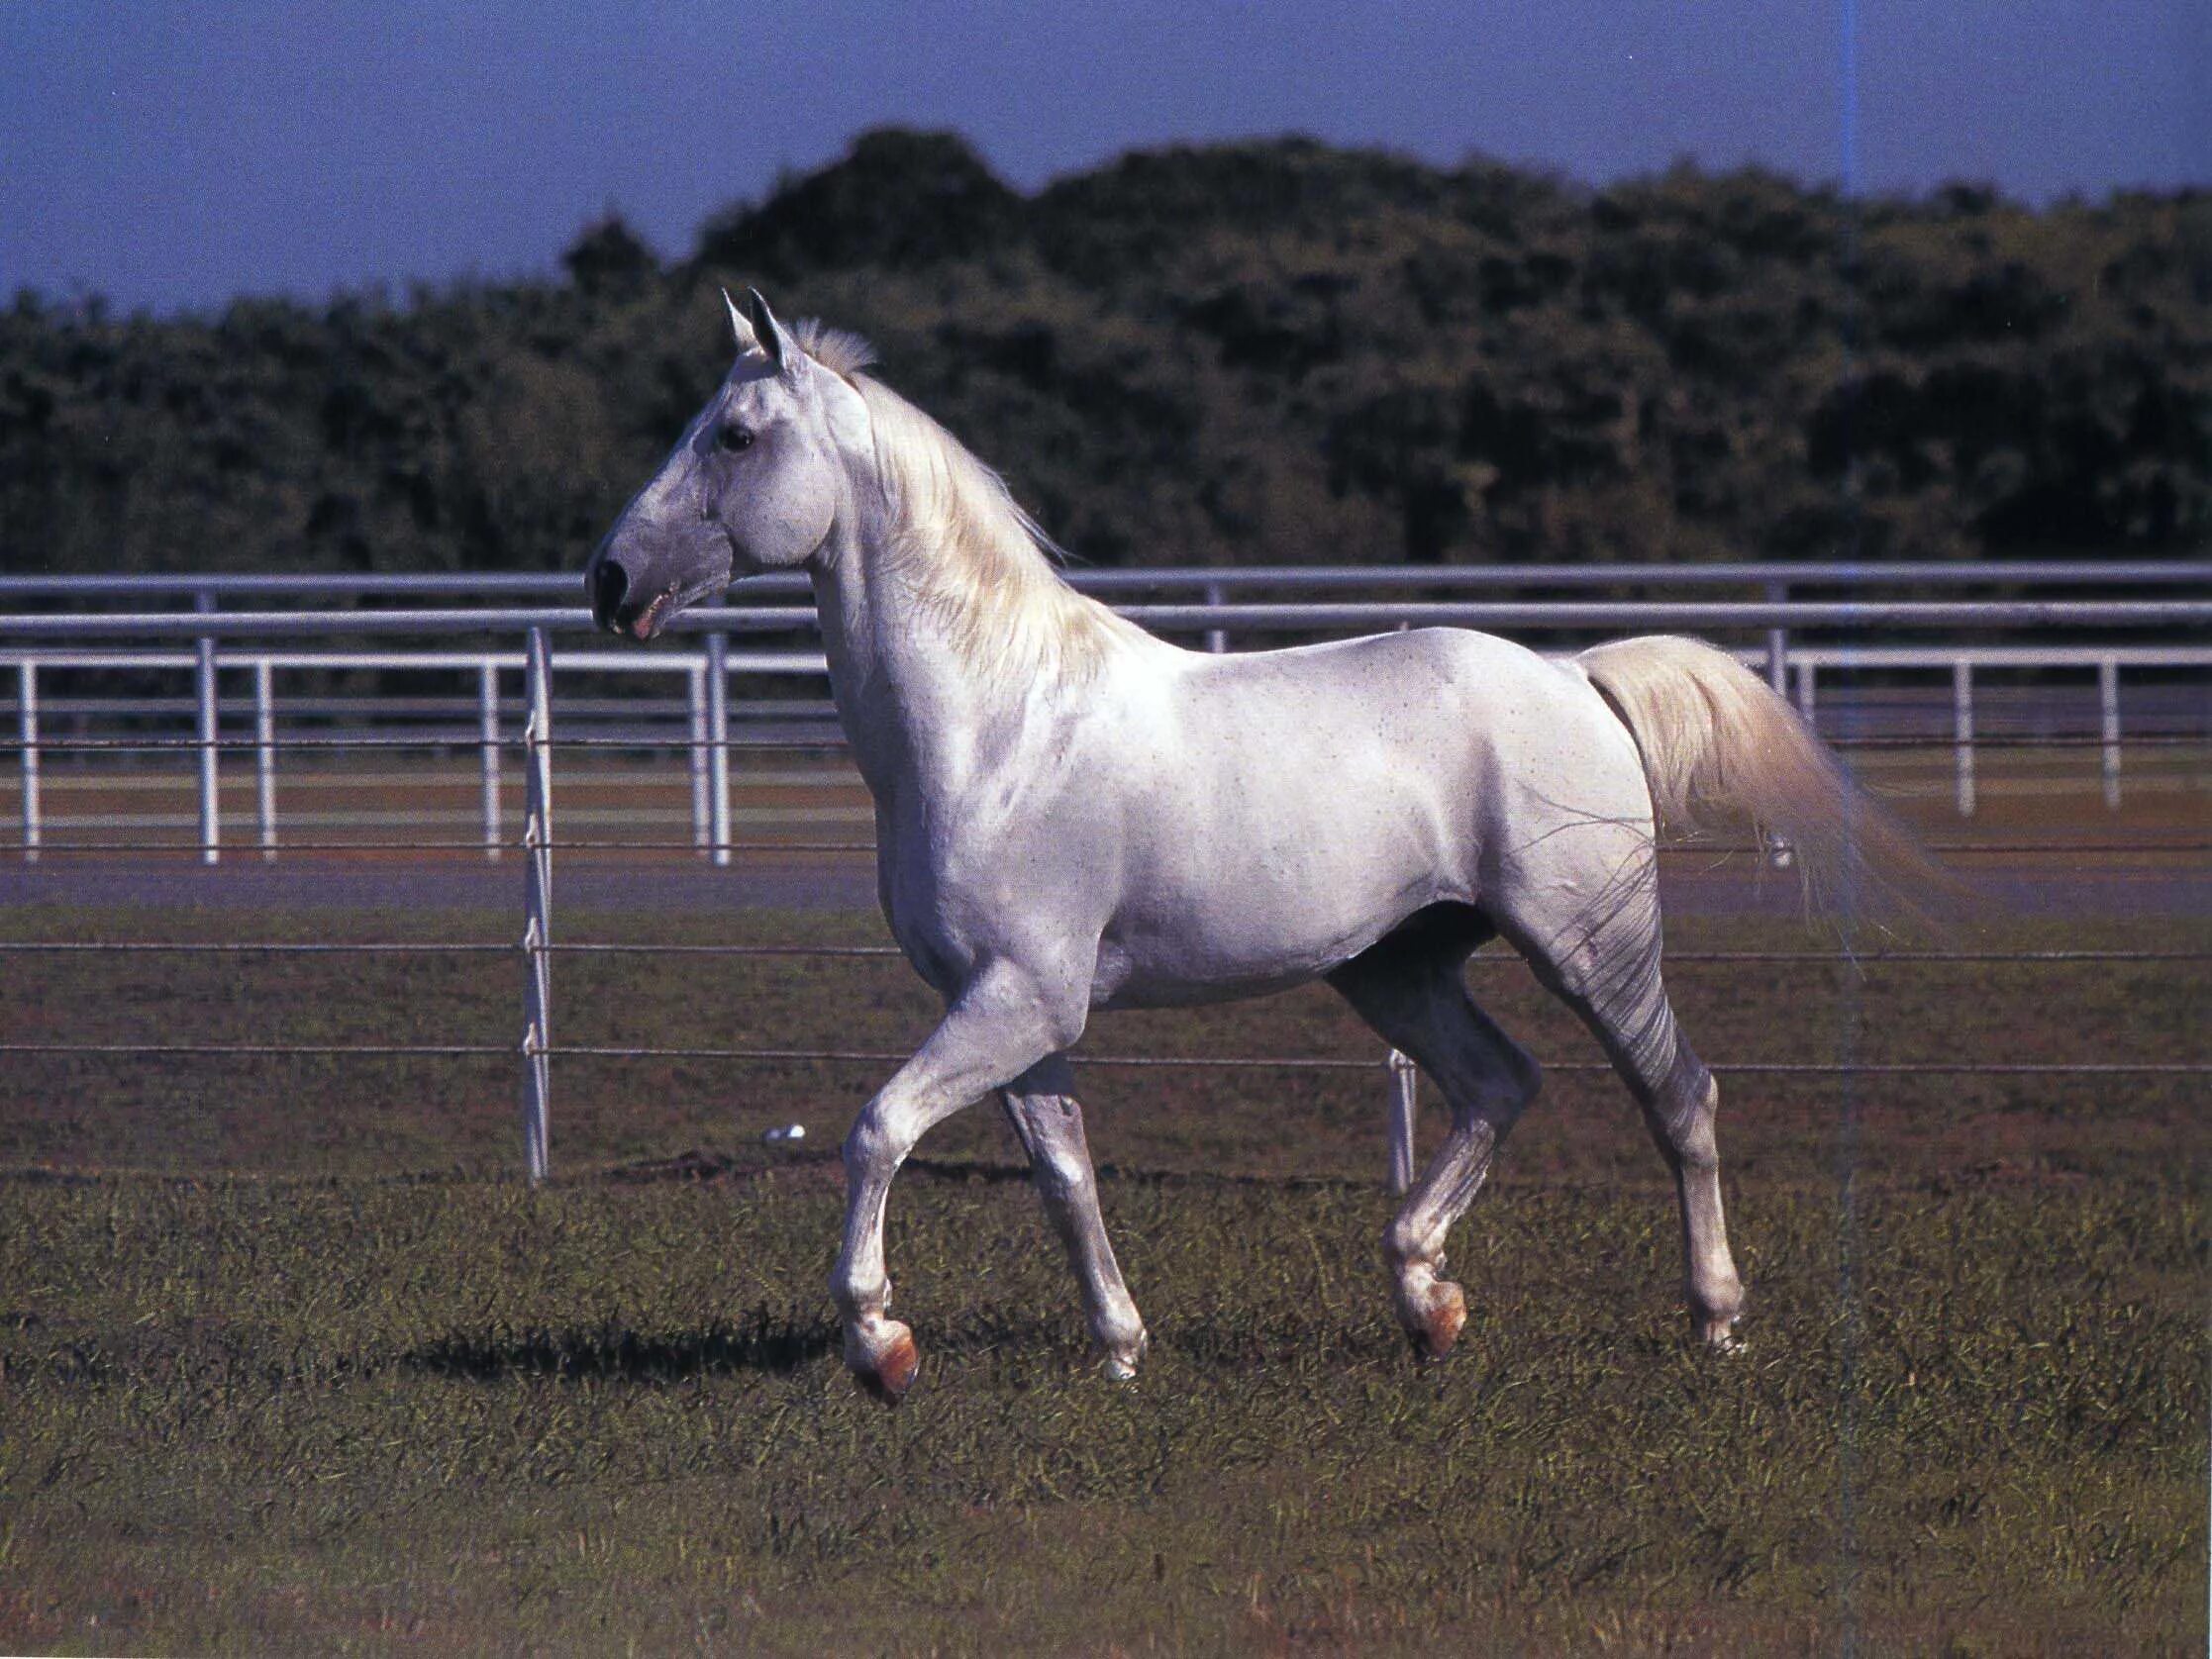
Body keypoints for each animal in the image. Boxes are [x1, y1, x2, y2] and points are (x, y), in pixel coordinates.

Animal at [583, 289, 1937, 1407]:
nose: (607, 579)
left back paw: (1714, 1321)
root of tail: (1576, 678)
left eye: (734, 435)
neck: (992, 723)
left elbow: (877, 1129)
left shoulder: (1017, 996)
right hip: (1394, 966)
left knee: (1676, 1097)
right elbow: (1063, 1176)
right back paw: (1425, 1304)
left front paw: (880, 1343)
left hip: (1588, 943)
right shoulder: (1015, 1010)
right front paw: (1120, 1348)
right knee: (1498, 1084)